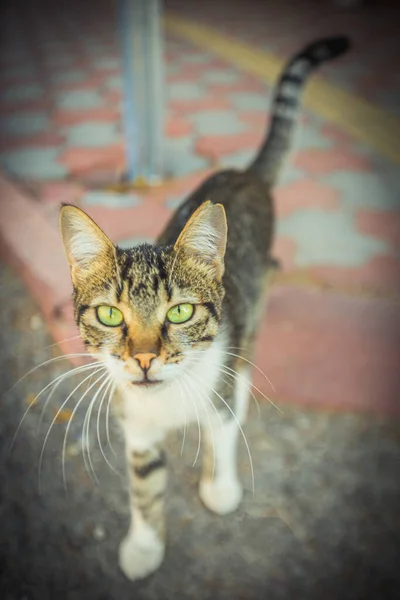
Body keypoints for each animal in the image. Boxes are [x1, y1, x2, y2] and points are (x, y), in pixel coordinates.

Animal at [59, 35, 350, 580]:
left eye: (179, 313)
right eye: (110, 315)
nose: (144, 358)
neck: (168, 400)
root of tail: (244, 172)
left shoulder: (221, 382)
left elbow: (224, 430)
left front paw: (220, 487)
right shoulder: (138, 429)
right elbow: (145, 486)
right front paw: (144, 547)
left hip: (258, 290)